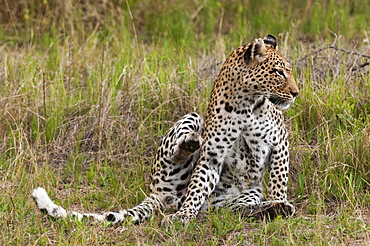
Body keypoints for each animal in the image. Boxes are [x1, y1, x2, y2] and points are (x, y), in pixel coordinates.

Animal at [32, 33, 298, 226]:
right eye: (278, 72)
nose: (296, 92)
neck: (246, 104)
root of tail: (159, 198)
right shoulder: (212, 156)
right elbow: (197, 187)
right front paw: (183, 217)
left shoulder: (279, 143)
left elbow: (278, 179)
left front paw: (279, 200)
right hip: (188, 128)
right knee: (181, 161)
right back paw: (189, 145)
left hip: (245, 194)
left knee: (237, 209)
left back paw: (272, 209)